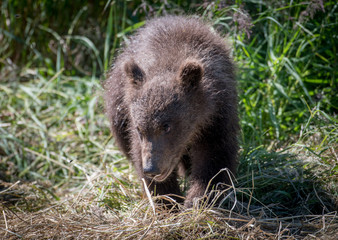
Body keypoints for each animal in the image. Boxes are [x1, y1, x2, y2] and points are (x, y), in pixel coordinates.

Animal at [104, 15, 239, 207]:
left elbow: (215, 159)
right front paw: (168, 200)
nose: (151, 168)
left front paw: (198, 200)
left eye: (166, 126)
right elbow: (137, 152)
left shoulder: (217, 117)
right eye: (139, 129)